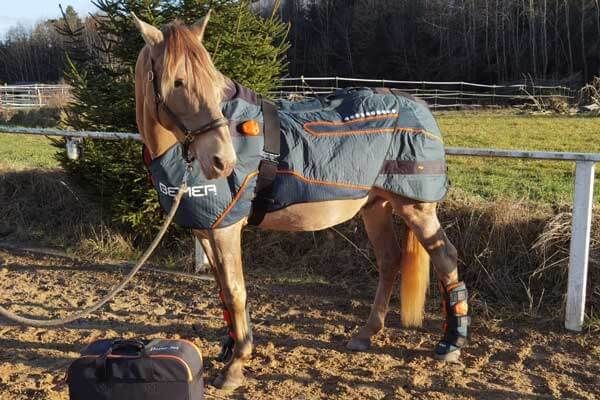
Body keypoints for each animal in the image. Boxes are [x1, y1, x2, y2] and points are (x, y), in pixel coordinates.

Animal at [134, 11, 472, 390]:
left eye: (213, 80)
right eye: (177, 82)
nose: (223, 161)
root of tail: (419, 104)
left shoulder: (226, 228)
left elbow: (235, 291)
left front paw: (236, 366)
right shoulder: (207, 229)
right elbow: (223, 291)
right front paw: (231, 347)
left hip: (415, 207)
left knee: (445, 257)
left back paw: (451, 343)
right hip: (377, 207)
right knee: (389, 261)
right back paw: (366, 333)